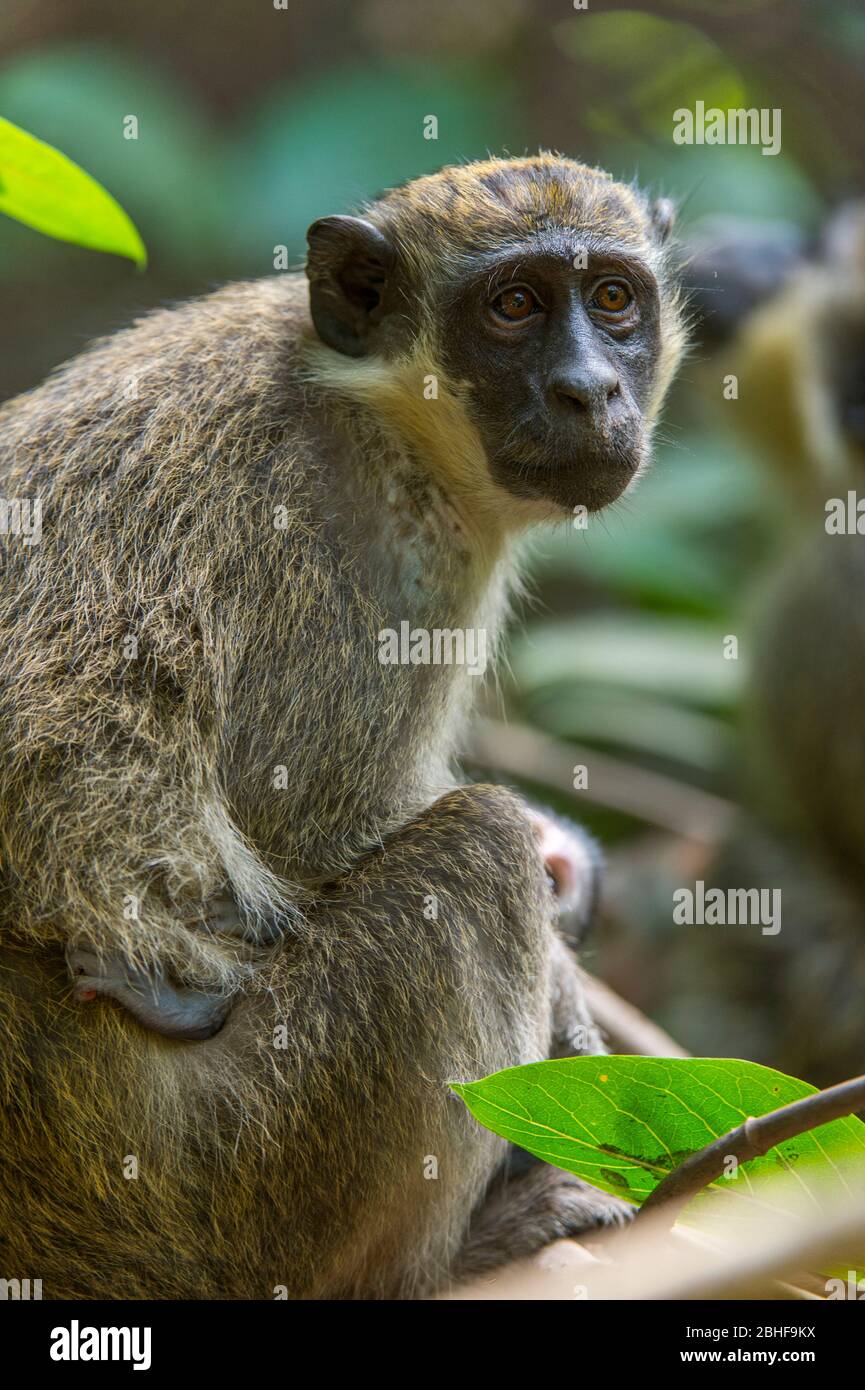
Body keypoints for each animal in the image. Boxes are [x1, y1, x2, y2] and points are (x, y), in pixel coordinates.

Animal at [0, 155, 684, 1296]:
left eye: (613, 298)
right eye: (513, 307)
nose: (590, 390)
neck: (379, 409)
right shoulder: (368, 564)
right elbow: (314, 835)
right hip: (227, 1175)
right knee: (474, 851)